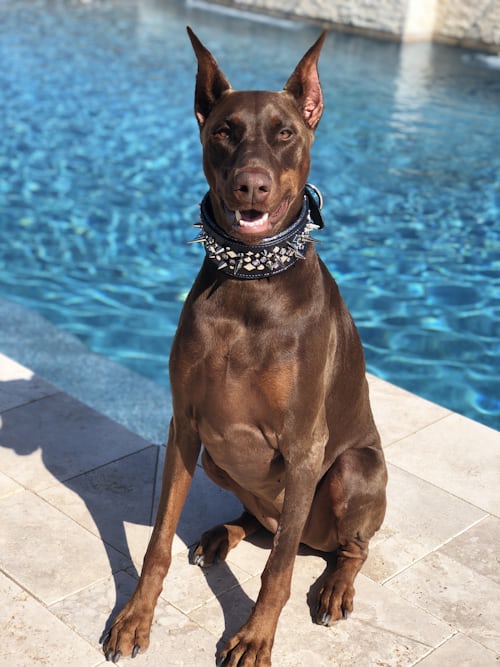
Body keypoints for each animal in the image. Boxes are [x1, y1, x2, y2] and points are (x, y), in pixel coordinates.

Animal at [103, 28, 388, 664]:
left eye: (285, 133)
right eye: (224, 131)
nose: (250, 185)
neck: (249, 280)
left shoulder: (306, 445)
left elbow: (276, 573)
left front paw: (255, 638)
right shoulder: (184, 426)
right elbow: (157, 542)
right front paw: (135, 616)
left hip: (352, 470)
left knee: (345, 549)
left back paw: (334, 586)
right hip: (218, 455)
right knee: (260, 519)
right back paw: (221, 533)